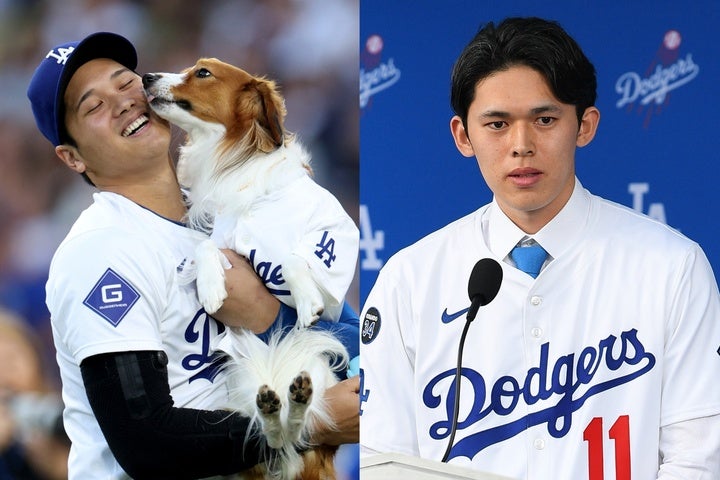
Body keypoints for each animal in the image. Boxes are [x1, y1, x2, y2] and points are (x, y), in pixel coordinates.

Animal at [144, 60, 360, 480]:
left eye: (203, 73)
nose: (145, 78)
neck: (238, 167)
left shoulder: (336, 243)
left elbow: (294, 258)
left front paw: (306, 301)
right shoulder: (225, 237)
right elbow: (207, 246)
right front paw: (212, 287)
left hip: (317, 363)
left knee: (297, 422)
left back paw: (292, 402)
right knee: (271, 434)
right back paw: (274, 410)